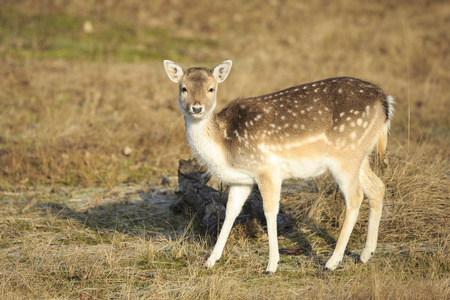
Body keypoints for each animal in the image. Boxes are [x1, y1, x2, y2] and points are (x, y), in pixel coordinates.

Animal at [163, 59, 392, 274]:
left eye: (212, 88)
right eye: (183, 88)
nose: (197, 107)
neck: (224, 148)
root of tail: (385, 101)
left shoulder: (267, 169)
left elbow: (270, 211)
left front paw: (272, 264)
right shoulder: (242, 180)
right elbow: (230, 212)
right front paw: (210, 261)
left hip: (345, 156)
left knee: (355, 196)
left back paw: (332, 262)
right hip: (360, 156)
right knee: (377, 187)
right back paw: (366, 254)